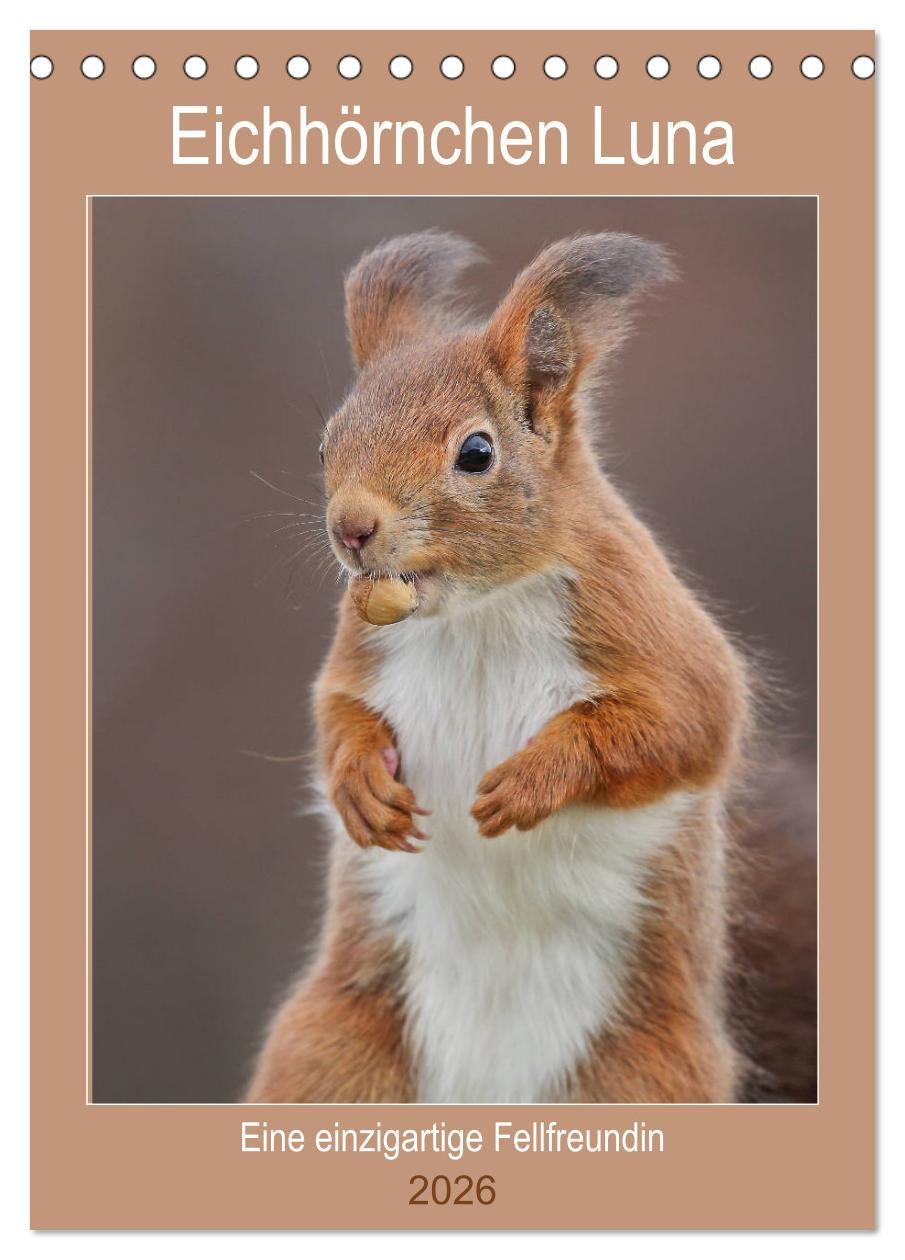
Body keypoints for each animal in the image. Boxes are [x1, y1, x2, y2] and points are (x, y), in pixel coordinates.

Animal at [245, 230, 816, 1105]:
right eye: (326, 441)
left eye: (475, 452)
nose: (352, 529)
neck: (475, 613)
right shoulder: (362, 645)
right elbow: (335, 710)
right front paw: (359, 785)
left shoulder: (647, 627)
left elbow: (686, 723)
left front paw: (533, 778)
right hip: (331, 1057)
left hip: (641, 1078)